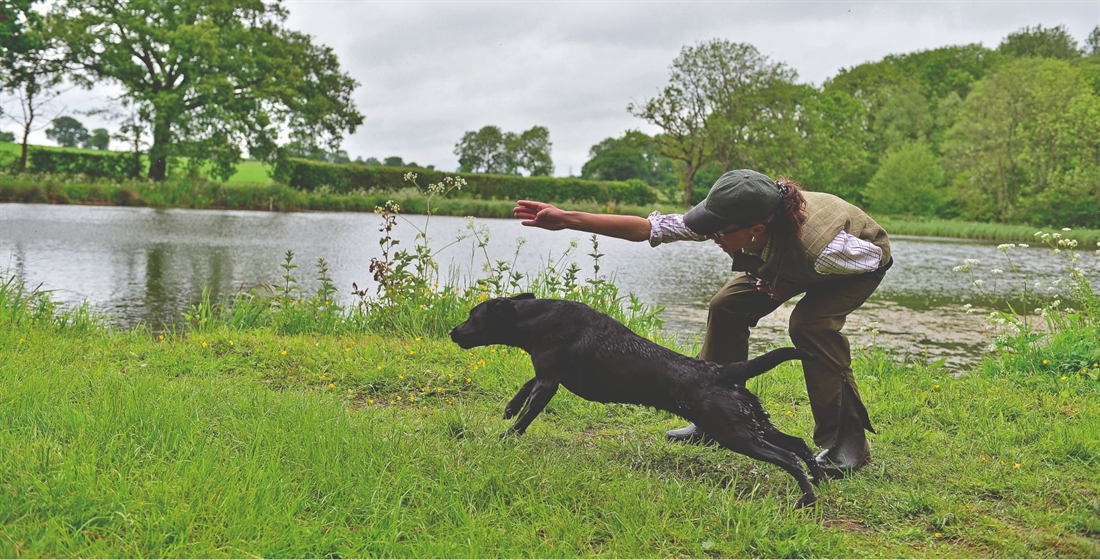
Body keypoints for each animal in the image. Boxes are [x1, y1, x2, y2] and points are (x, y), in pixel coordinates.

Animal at [446, 292, 827, 506]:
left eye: (472, 316)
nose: (452, 331)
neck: (537, 318)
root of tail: (722, 371)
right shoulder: (548, 376)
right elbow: (525, 388)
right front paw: (509, 408)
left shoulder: (549, 382)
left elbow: (528, 415)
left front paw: (505, 437)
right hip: (750, 421)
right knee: (799, 444)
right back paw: (820, 479)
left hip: (733, 431)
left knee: (788, 457)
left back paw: (807, 499)